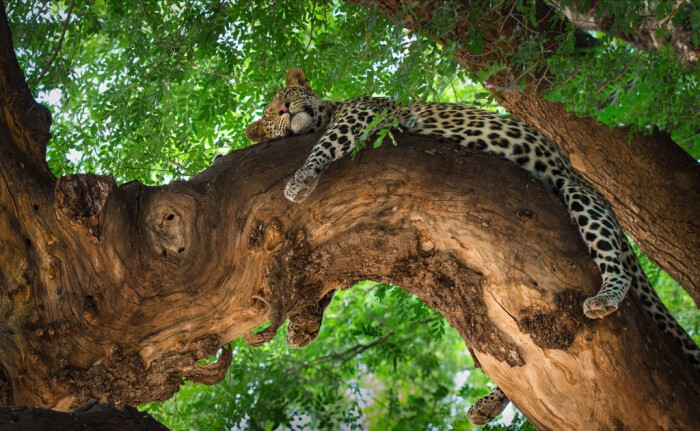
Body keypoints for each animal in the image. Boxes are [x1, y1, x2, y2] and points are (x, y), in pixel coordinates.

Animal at [246, 67, 700, 426]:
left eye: (287, 97)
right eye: (270, 116)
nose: (284, 111)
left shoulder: (366, 113)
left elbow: (325, 144)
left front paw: (299, 180)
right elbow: (330, 270)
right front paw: (303, 325)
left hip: (581, 196)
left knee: (613, 267)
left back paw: (605, 296)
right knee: (512, 354)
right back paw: (488, 404)